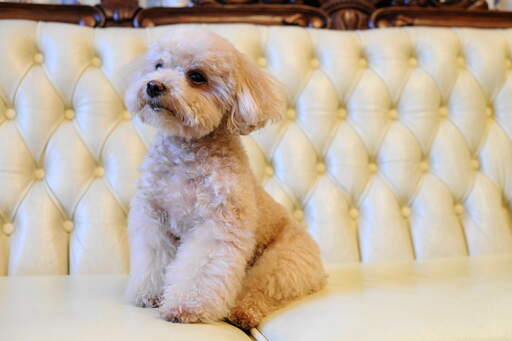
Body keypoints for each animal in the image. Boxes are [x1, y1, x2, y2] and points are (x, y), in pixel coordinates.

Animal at [124, 27, 326, 330]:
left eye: (197, 76)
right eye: (158, 65)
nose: (153, 86)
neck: (185, 152)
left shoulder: (217, 224)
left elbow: (201, 268)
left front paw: (185, 307)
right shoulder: (154, 217)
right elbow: (153, 257)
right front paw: (149, 295)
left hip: (284, 260)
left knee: (263, 288)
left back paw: (242, 312)